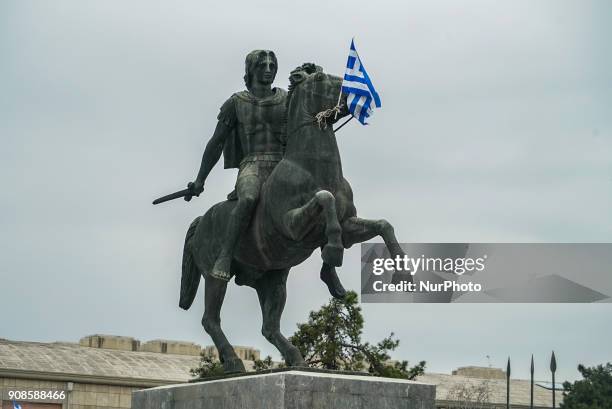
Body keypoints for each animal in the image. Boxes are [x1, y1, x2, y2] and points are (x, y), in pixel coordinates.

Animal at [178, 64, 406, 372]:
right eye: (321, 78)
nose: (362, 93)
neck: (313, 168)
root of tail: (201, 220)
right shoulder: (292, 226)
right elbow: (325, 198)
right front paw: (333, 253)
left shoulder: (348, 226)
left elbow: (383, 225)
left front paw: (402, 271)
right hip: (215, 277)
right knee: (211, 319)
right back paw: (234, 361)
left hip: (273, 279)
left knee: (269, 327)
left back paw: (295, 358)